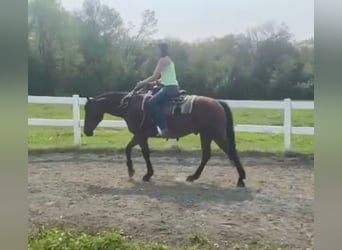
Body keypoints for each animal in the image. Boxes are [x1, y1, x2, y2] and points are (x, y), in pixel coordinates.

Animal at [84, 87, 247, 187]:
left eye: (89, 110)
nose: (86, 131)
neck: (129, 105)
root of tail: (217, 102)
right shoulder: (140, 136)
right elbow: (131, 149)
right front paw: (136, 171)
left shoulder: (140, 135)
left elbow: (140, 152)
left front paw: (144, 174)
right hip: (206, 135)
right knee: (206, 155)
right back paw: (193, 176)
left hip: (216, 135)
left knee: (231, 152)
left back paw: (241, 179)